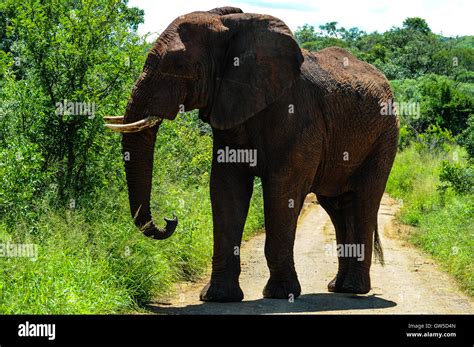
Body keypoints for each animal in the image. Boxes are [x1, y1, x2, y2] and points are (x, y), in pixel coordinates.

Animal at [105, 6, 398, 304]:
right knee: (337, 206)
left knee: (363, 201)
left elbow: (281, 192)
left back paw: (353, 289)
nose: (170, 219)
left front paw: (280, 294)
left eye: (177, 66)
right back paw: (337, 287)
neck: (231, 27)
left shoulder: (297, 115)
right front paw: (218, 297)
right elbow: (226, 189)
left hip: (385, 137)